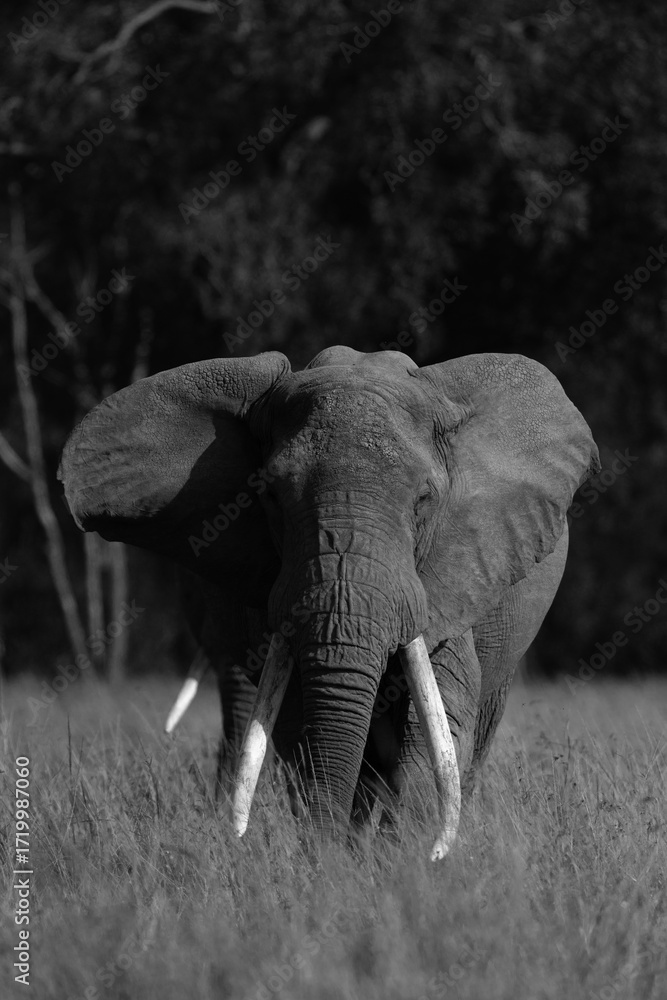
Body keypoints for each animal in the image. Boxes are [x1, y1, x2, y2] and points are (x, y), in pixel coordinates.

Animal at [58, 347, 599, 860]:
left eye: (424, 500)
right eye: (271, 497)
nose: (328, 851)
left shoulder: (454, 572)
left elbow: (437, 719)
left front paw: (409, 864)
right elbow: (300, 723)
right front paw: (346, 861)